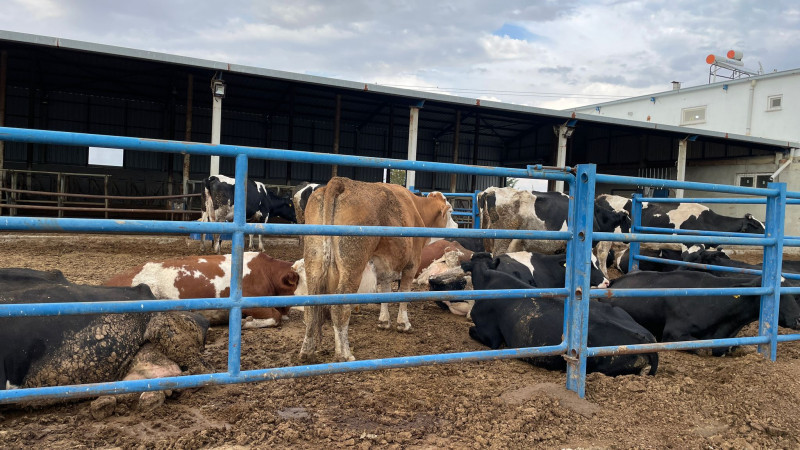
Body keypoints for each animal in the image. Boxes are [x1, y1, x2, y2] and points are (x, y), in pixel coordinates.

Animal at [298, 177, 454, 362]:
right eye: (450, 212)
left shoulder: (383, 267)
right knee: (339, 308)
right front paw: (403, 324)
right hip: (353, 265)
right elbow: (405, 292)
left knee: (311, 307)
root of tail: (340, 182)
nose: (457, 226)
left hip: (314, 260)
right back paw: (345, 354)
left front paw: (384, 321)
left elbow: (384, 292)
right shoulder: (412, 263)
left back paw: (307, 351)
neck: (416, 208)